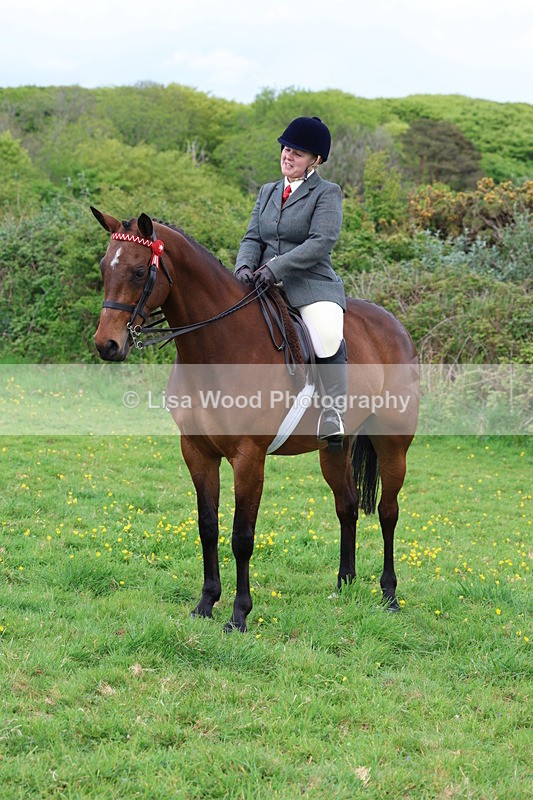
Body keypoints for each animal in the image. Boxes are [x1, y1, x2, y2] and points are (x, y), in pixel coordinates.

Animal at [91, 207, 419, 631]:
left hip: (393, 443)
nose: (107, 345)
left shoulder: (249, 457)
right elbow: (208, 527)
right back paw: (343, 585)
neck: (218, 348)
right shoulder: (197, 452)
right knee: (346, 505)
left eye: (137, 271)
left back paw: (389, 594)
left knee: (387, 512)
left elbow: (242, 536)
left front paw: (238, 614)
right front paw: (205, 603)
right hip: (334, 447)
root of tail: (395, 326)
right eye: (104, 267)